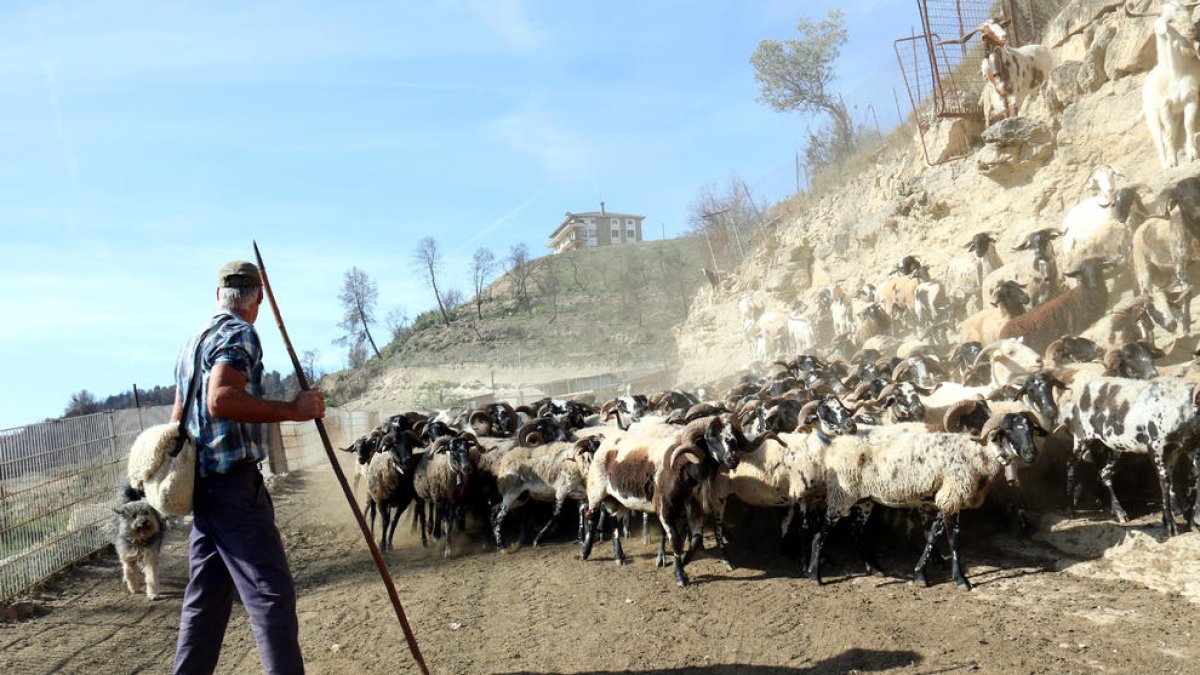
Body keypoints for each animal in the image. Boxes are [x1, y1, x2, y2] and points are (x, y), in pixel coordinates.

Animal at [811, 410, 1046, 583]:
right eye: (1009, 430)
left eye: (1031, 429)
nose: (1032, 454)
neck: (976, 455)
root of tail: (837, 441)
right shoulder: (952, 497)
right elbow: (953, 540)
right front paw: (961, 580)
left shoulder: (945, 499)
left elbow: (932, 535)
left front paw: (920, 574)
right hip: (842, 494)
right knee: (819, 536)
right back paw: (815, 575)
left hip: (865, 500)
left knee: (855, 533)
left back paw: (875, 568)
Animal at [1123, 0, 1200, 166]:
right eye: (1169, 20)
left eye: (1188, 13)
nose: (1192, 30)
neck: (1176, 74)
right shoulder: (1165, 104)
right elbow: (1169, 134)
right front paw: (1173, 162)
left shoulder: (1191, 96)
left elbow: (1188, 124)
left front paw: (1192, 154)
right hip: (1152, 115)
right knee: (1159, 138)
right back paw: (1165, 163)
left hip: (1175, 115)